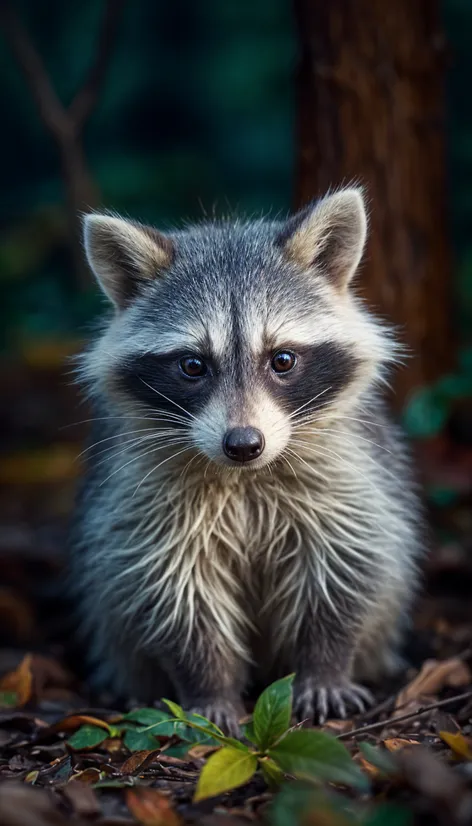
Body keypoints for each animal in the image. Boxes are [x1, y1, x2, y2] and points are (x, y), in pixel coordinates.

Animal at [73, 190, 424, 732]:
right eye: (192, 365)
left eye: (282, 359)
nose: (243, 444)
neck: (245, 478)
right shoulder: (145, 504)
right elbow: (176, 595)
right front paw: (208, 687)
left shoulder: (346, 477)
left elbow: (345, 567)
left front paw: (325, 667)